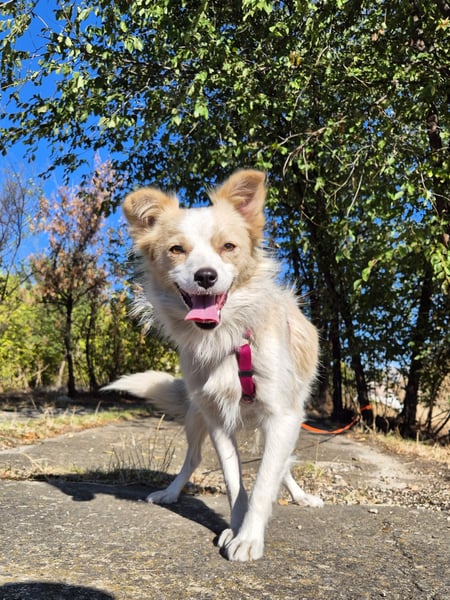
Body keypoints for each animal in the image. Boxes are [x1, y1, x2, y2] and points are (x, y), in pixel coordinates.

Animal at [105, 169, 323, 561]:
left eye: (229, 247)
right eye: (176, 250)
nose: (205, 276)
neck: (228, 338)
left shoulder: (282, 415)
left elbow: (265, 481)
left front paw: (249, 537)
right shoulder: (218, 418)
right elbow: (234, 481)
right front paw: (235, 529)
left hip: (290, 415)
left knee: (281, 465)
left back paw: (300, 496)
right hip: (196, 416)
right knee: (192, 459)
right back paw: (171, 492)